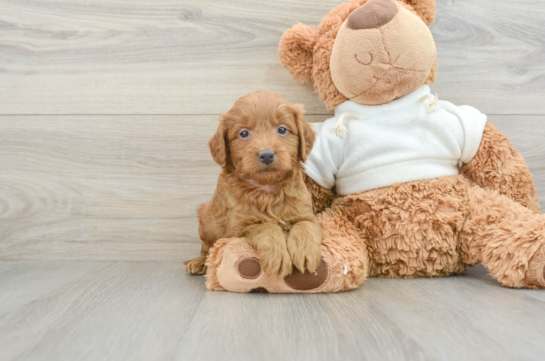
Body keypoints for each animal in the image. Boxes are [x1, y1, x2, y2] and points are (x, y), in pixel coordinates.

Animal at [186, 90, 320, 276]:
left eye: (282, 129)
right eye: (244, 133)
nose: (266, 155)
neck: (268, 188)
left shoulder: (306, 213)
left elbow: (305, 225)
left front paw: (306, 252)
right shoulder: (238, 228)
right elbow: (265, 227)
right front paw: (277, 256)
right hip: (206, 221)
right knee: (207, 247)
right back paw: (199, 262)